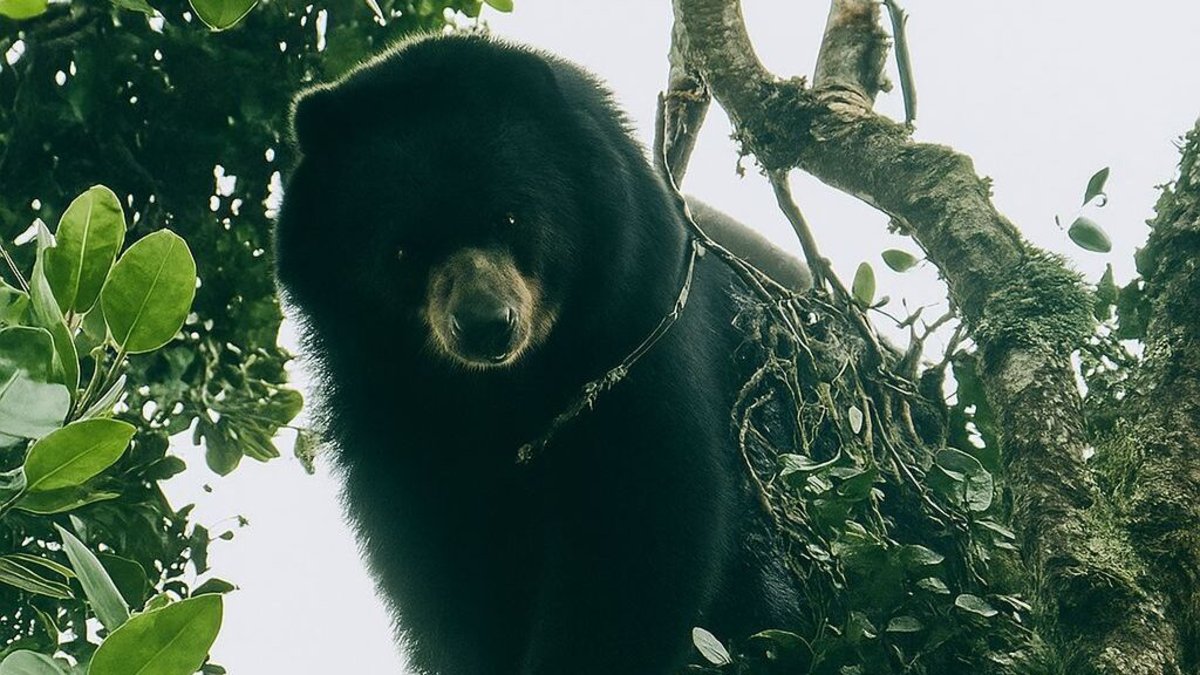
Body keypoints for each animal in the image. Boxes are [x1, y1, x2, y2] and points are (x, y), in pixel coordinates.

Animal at [274, 34, 808, 675]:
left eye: (509, 215)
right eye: (403, 250)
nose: (485, 325)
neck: (504, 389)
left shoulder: (639, 337)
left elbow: (644, 525)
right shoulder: (389, 419)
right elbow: (441, 567)